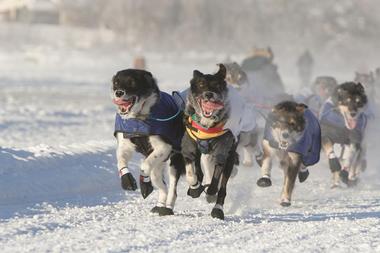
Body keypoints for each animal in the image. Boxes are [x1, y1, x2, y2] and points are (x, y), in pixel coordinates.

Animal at [112, 68, 185, 215]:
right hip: (158, 167)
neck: (138, 117)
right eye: (116, 82)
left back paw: (167, 208)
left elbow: (144, 166)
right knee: (162, 186)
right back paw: (160, 205)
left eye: (132, 82)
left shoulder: (164, 147)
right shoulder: (124, 145)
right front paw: (127, 180)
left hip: (173, 162)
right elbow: (120, 161)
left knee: (172, 189)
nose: (119, 92)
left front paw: (144, 184)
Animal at [180, 63, 254, 219]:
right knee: (203, 169)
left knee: (222, 186)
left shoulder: (222, 151)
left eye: (217, 85)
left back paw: (217, 207)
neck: (207, 126)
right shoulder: (189, 147)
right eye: (201, 84)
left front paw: (211, 192)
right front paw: (194, 187)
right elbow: (191, 173)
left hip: (229, 156)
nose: (209, 94)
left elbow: (216, 180)